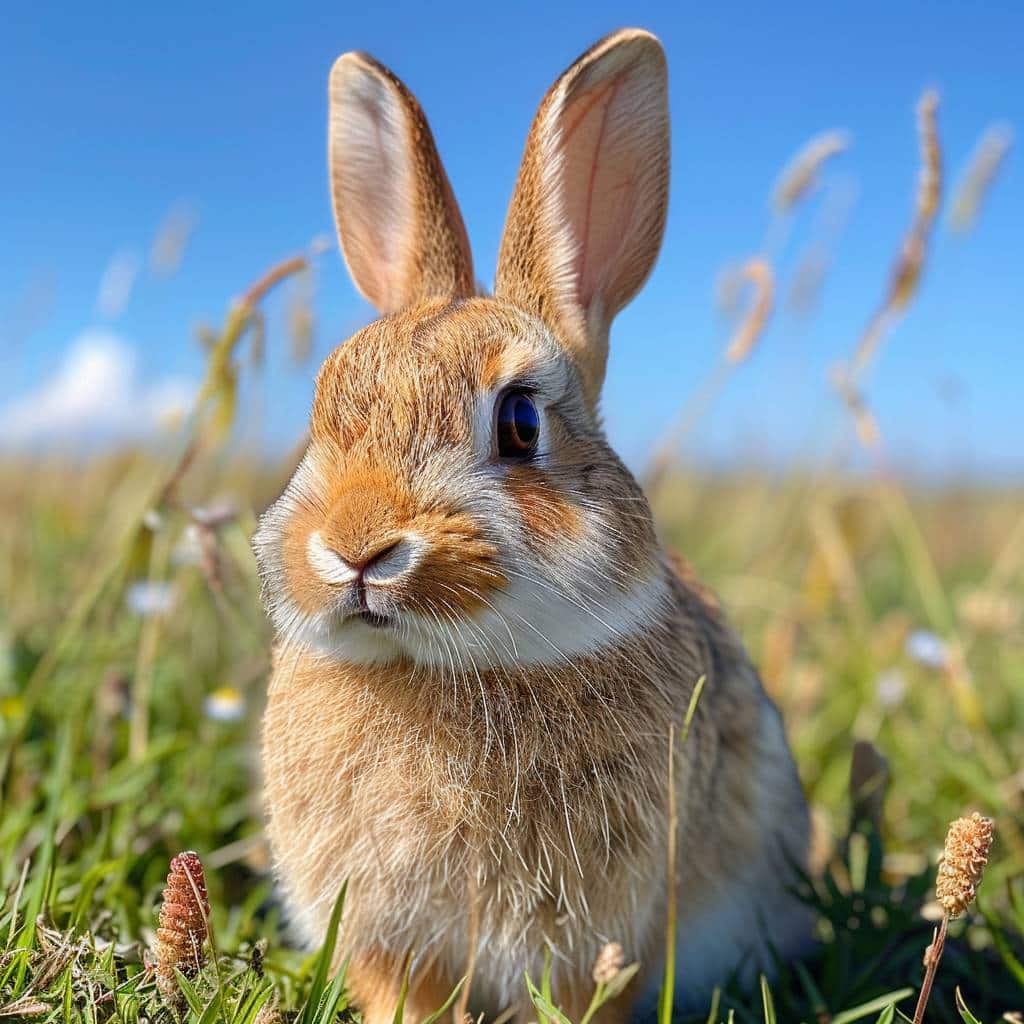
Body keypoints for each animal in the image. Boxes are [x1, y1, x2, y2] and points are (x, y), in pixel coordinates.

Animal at [253, 28, 806, 1024]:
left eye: (519, 422)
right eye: (323, 410)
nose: (355, 547)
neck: (431, 668)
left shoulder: (606, 930)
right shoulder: (389, 936)